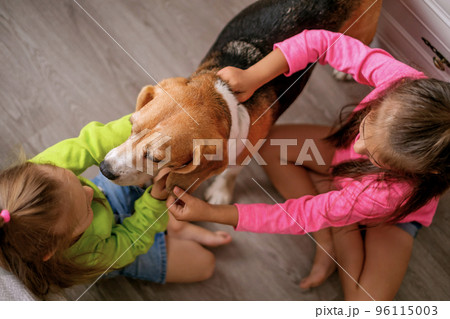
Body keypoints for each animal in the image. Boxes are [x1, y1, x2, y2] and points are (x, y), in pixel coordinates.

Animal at [100, 0, 382, 205]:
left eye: (156, 158)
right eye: (132, 125)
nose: (104, 169)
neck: (223, 98)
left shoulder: (246, 150)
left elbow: (230, 171)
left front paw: (221, 192)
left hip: (363, 31)